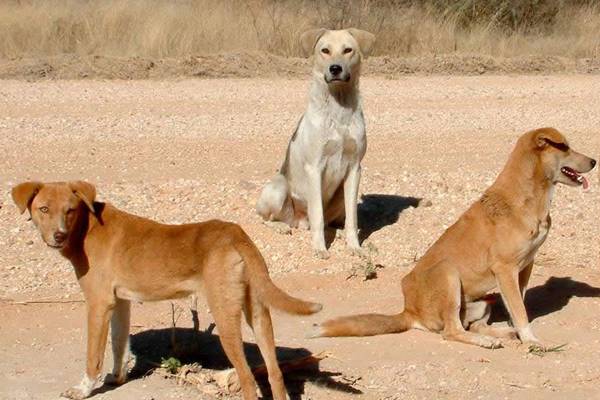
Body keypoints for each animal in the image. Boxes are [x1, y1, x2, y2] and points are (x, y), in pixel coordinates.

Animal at [10, 182, 324, 400]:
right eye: (44, 209)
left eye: (70, 210)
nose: (58, 235)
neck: (87, 228)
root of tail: (236, 234)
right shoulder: (120, 303)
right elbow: (118, 344)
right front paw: (117, 377)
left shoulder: (98, 304)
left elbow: (93, 356)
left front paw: (83, 389)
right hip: (258, 313)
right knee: (274, 374)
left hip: (225, 317)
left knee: (248, 379)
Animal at [254, 28, 376, 260]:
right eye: (325, 50)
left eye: (348, 50)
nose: (335, 68)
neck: (338, 110)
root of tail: (300, 222)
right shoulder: (315, 168)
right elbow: (317, 214)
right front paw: (320, 248)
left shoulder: (355, 168)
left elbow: (352, 218)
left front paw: (354, 246)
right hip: (279, 188)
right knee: (266, 219)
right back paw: (282, 227)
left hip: (339, 197)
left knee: (334, 221)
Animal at [310, 129, 596, 350]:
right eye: (565, 147)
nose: (594, 161)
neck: (528, 198)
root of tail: (410, 311)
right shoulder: (505, 269)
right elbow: (520, 310)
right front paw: (533, 340)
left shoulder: (525, 267)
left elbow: (518, 306)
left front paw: (517, 330)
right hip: (448, 274)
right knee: (452, 331)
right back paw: (485, 342)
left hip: (483, 301)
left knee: (473, 325)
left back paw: (501, 334)